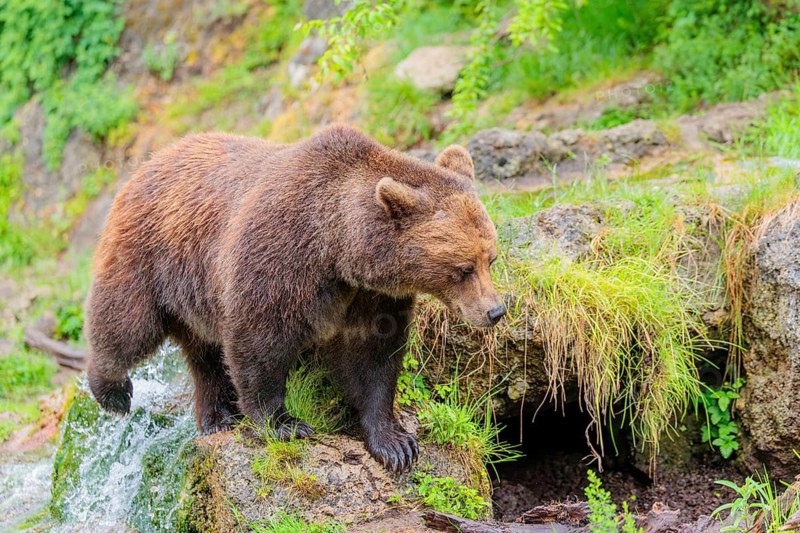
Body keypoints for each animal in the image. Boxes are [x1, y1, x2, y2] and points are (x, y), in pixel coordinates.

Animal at [85, 125, 506, 473]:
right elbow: (259, 342)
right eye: (463, 268)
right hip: (150, 257)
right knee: (126, 323)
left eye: (491, 259)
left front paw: (395, 443)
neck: (338, 250)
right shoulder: (279, 258)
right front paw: (285, 423)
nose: (495, 311)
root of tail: (149, 161)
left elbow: (372, 356)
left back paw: (217, 416)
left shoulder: (372, 295)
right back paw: (113, 392)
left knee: (204, 354)